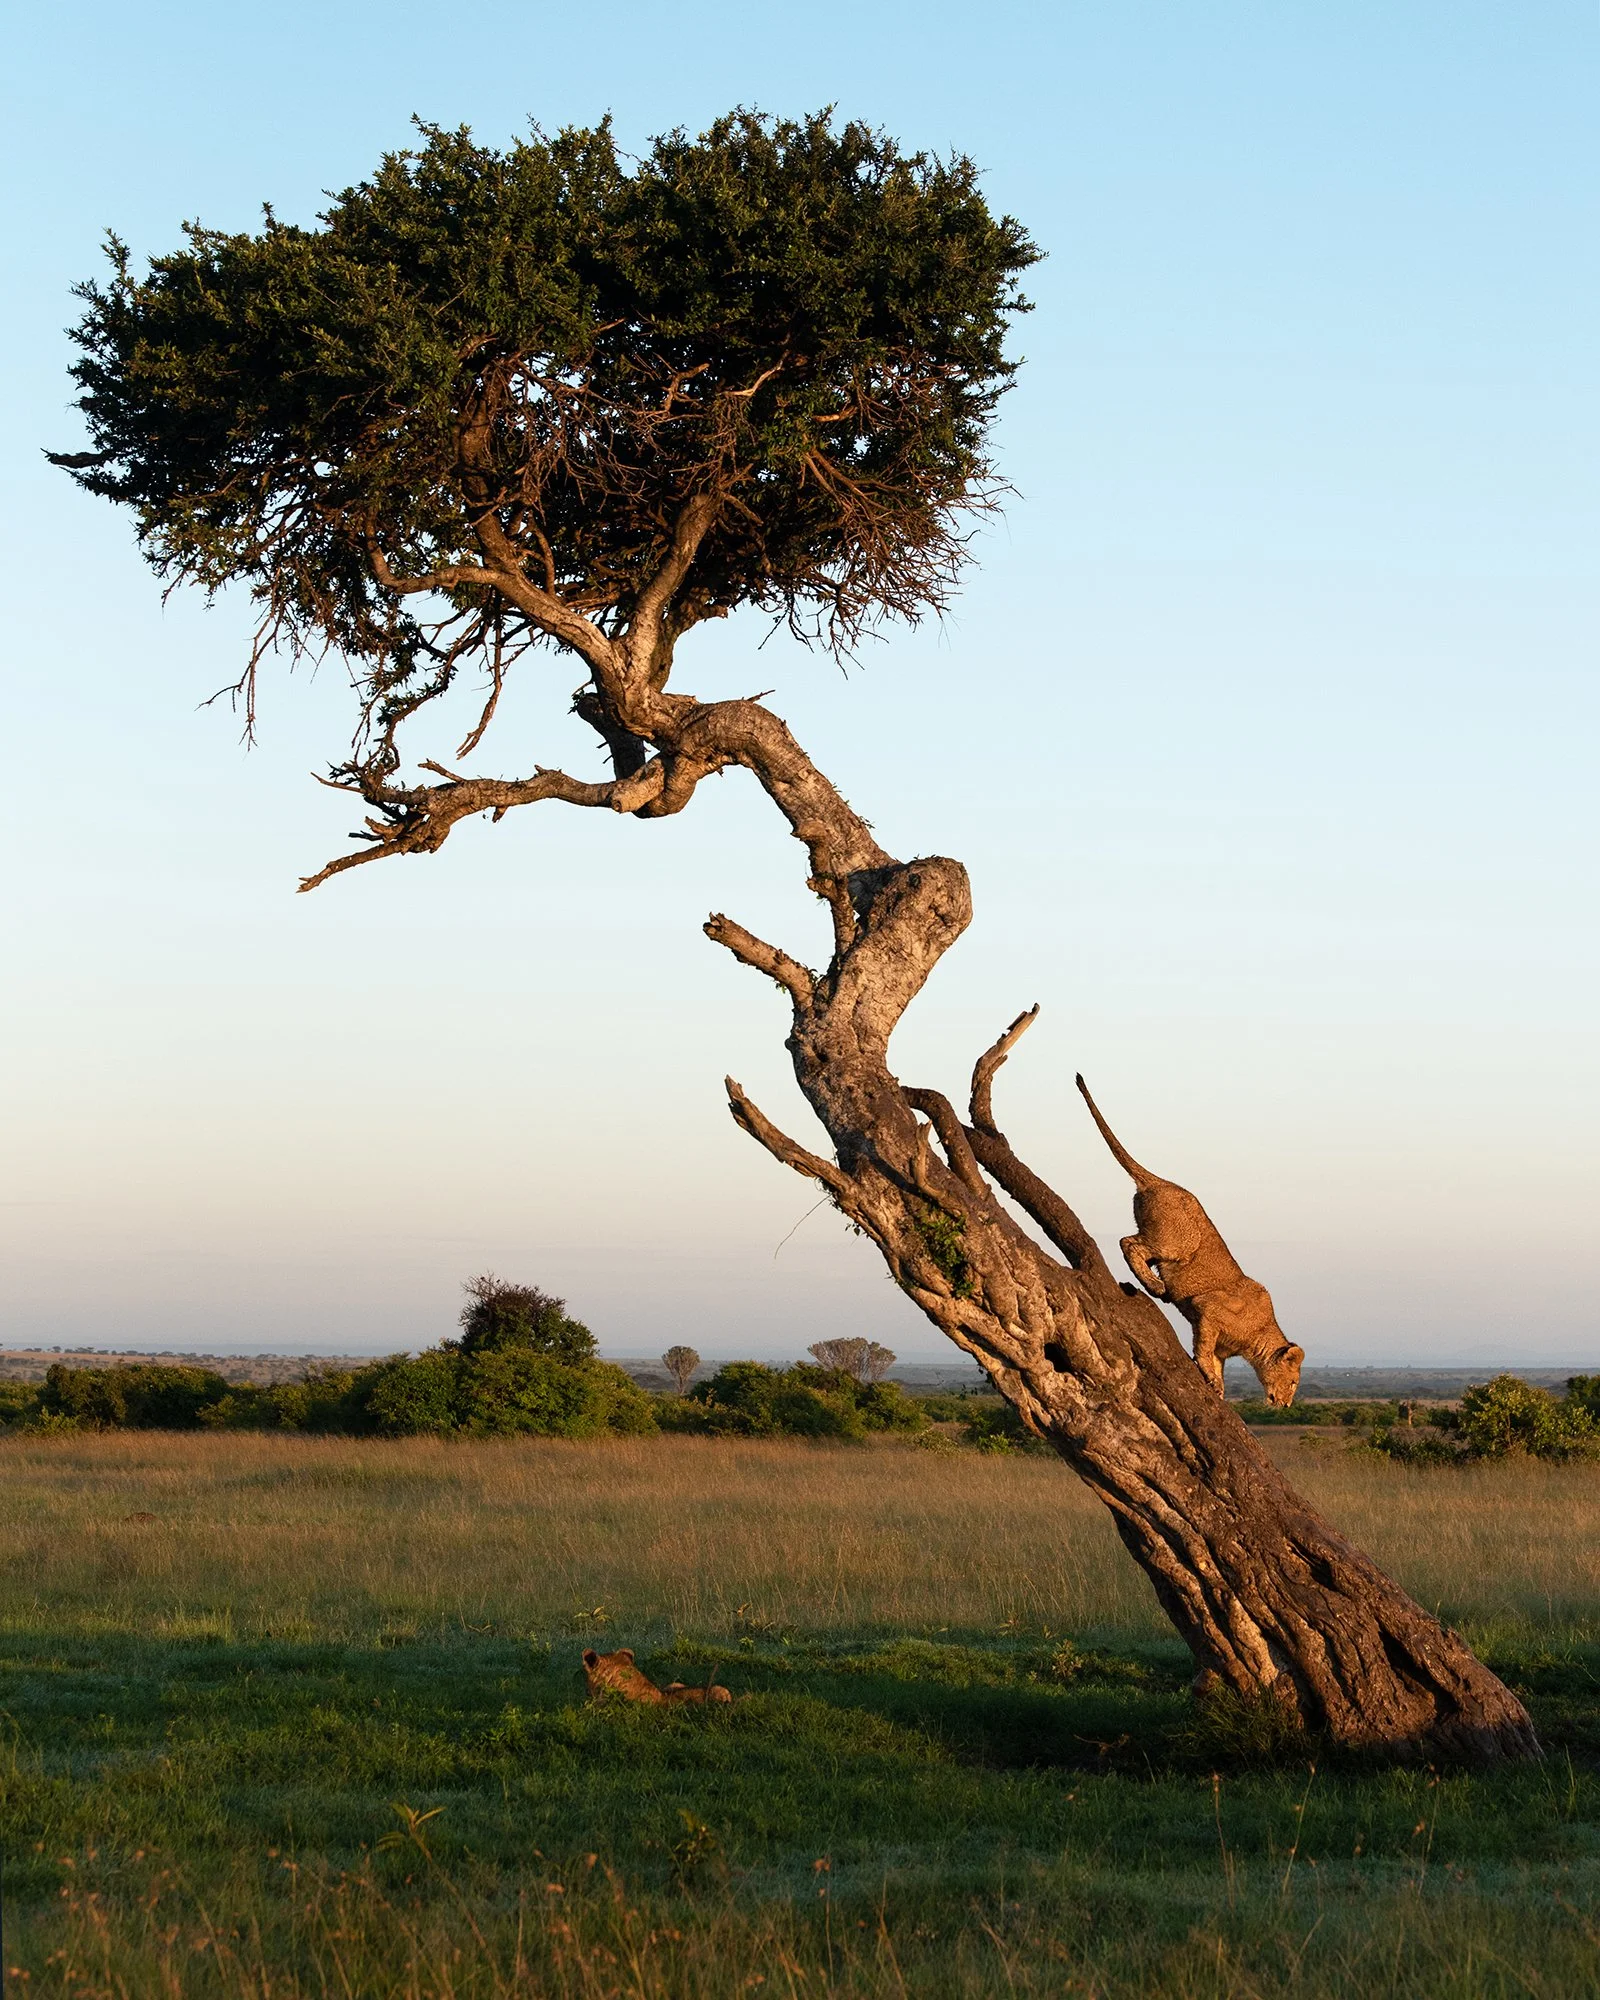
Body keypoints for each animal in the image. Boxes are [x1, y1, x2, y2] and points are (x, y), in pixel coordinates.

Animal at [1076, 1075, 1304, 1407]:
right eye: (1293, 1381)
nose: (1285, 1404)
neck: (1258, 1336)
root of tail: (1161, 1182)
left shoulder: (1219, 1341)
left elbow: (1217, 1361)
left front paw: (1218, 1387)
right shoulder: (1207, 1309)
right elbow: (1204, 1348)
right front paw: (1209, 1375)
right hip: (1176, 1244)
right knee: (1128, 1242)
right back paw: (1156, 1287)